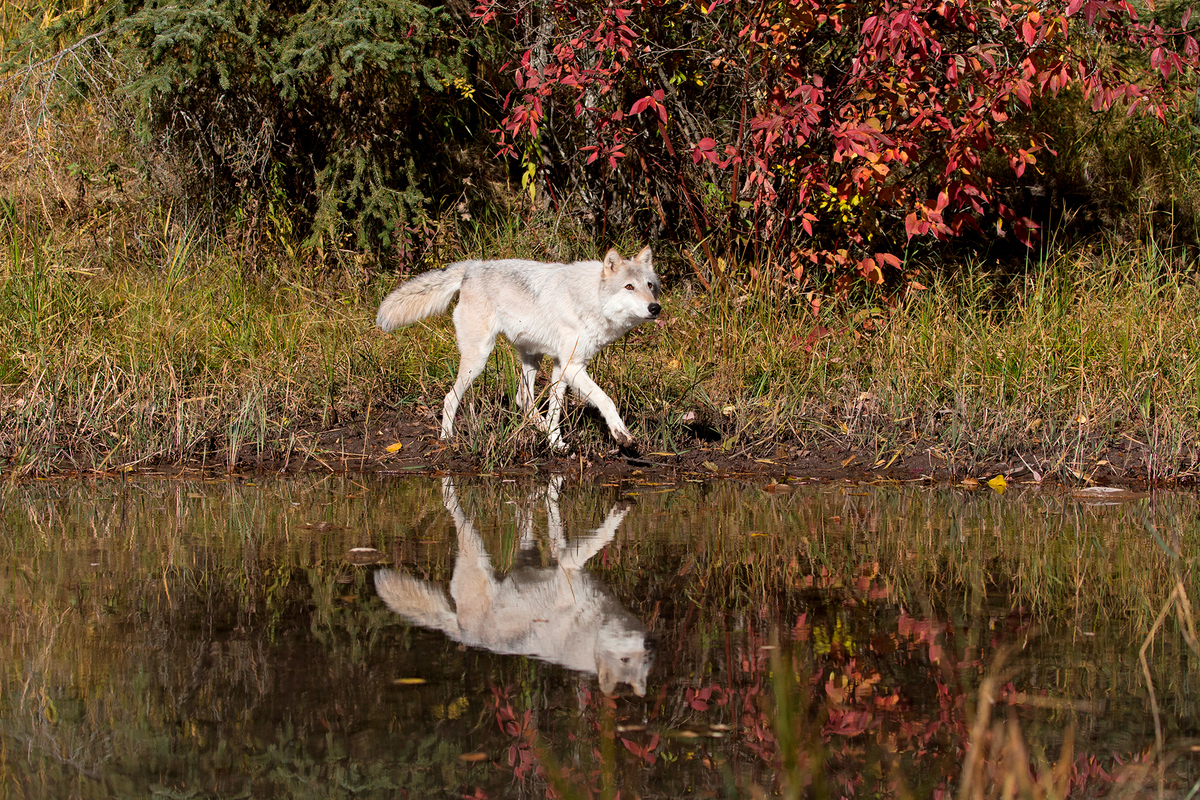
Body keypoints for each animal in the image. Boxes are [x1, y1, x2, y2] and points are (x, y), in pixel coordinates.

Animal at [374, 478, 652, 696]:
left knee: (524, 521)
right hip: (474, 546)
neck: (591, 631)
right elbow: (603, 537)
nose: (649, 647)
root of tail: (461, 630)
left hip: (524, 557)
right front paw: (619, 512)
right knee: (453, 508)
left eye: (643, 664)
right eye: (624, 659)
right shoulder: (568, 565)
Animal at [376, 247, 661, 450]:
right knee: (450, 397)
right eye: (629, 286)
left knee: (522, 399)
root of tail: (472, 267)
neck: (589, 300)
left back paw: (538, 426)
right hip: (478, 360)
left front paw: (555, 442)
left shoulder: (563, 365)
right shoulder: (573, 367)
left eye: (649, 286)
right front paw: (622, 435)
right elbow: (606, 399)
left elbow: (555, 410)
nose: (655, 307)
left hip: (532, 359)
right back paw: (447, 438)